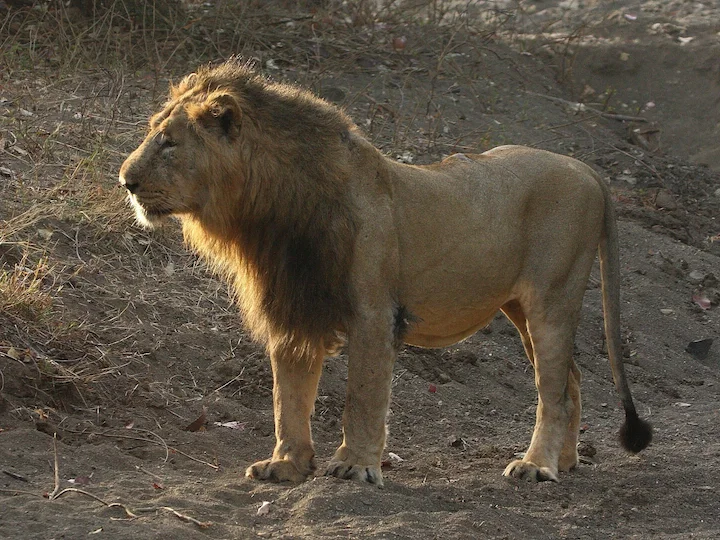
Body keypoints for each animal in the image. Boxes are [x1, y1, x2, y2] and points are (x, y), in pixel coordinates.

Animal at [119, 60, 652, 486]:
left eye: (169, 143)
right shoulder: (293, 308)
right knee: (571, 379)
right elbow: (287, 398)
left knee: (553, 391)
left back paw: (536, 465)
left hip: (551, 300)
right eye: (154, 134)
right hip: (519, 308)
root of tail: (586, 168)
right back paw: (565, 461)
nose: (125, 180)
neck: (267, 212)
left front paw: (356, 465)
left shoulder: (374, 314)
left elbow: (362, 395)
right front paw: (287, 465)